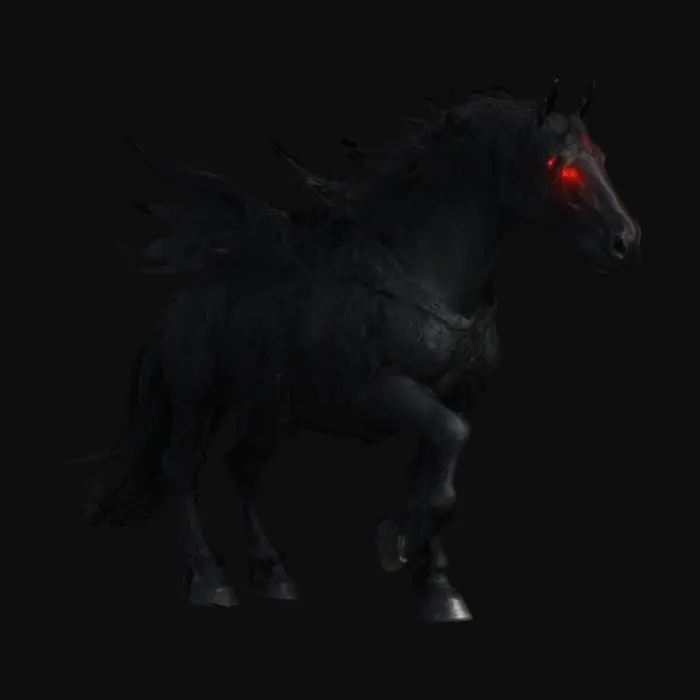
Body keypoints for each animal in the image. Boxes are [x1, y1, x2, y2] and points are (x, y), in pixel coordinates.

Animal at [82, 78, 641, 622]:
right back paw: (209, 580)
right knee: (182, 466)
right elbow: (446, 459)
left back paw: (273, 573)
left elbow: (436, 476)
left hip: (275, 413)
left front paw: (436, 586)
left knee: (242, 464)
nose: (625, 241)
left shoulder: (451, 399)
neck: (427, 271)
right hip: (197, 400)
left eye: (602, 156)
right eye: (558, 165)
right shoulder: (381, 392)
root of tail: (177, 308)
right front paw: (397, 545)